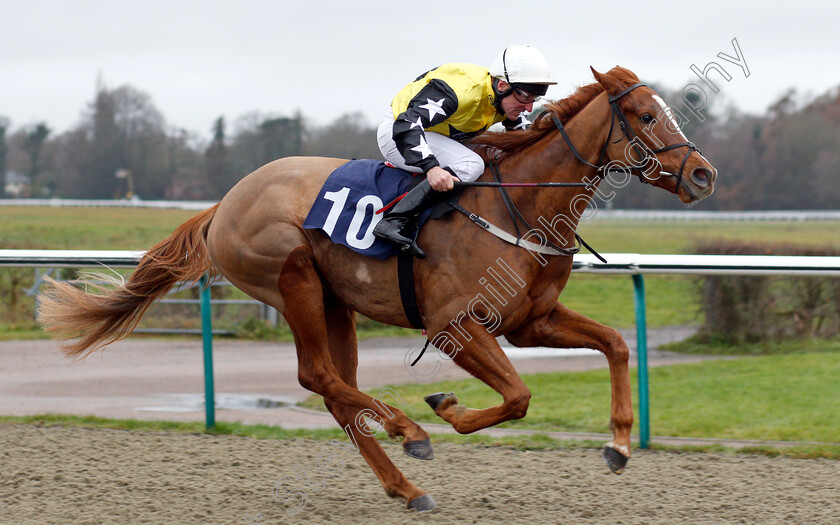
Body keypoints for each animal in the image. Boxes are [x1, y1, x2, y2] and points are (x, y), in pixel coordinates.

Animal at [39, 66, 716, 512]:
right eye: (647, 116)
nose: (703, 174)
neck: (519, 206)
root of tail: (224, 203)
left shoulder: (531, 322)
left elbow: (616, 344)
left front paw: (620, 445)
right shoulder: (453, 326)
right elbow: (519, 397)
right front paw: (445, 407)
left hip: (336, 302)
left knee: (338, 393)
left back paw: (405, 486)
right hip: (293, 280)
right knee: (317, 376)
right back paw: (409, 434)